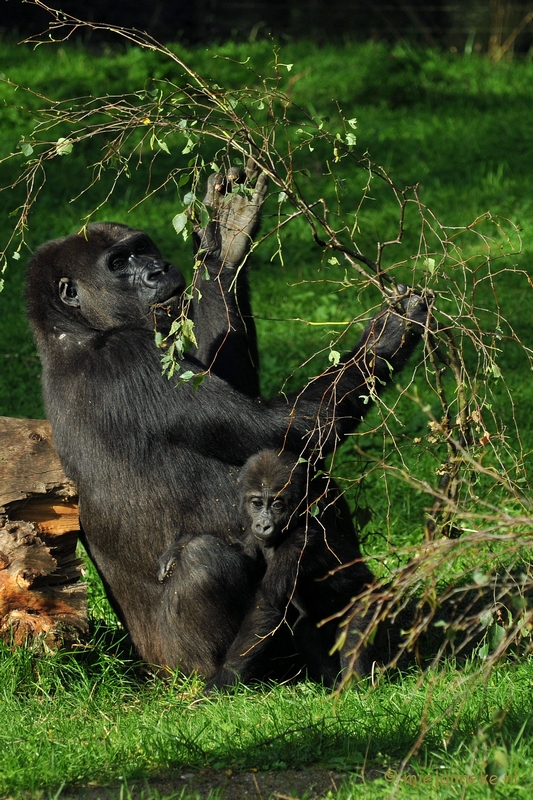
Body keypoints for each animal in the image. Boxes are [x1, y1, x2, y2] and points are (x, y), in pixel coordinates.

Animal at [201, 446, 374, 692]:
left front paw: (222, 680)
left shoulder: (298, 544)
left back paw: (355, 688)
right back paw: (333, 685)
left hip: (369, 599)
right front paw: (178, 549)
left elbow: (267, 606)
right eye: (256, 503)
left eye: (277, 505)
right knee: (306, 632)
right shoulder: (254, 532)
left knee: (355, 632)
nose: (263, 525)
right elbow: (247, 555)